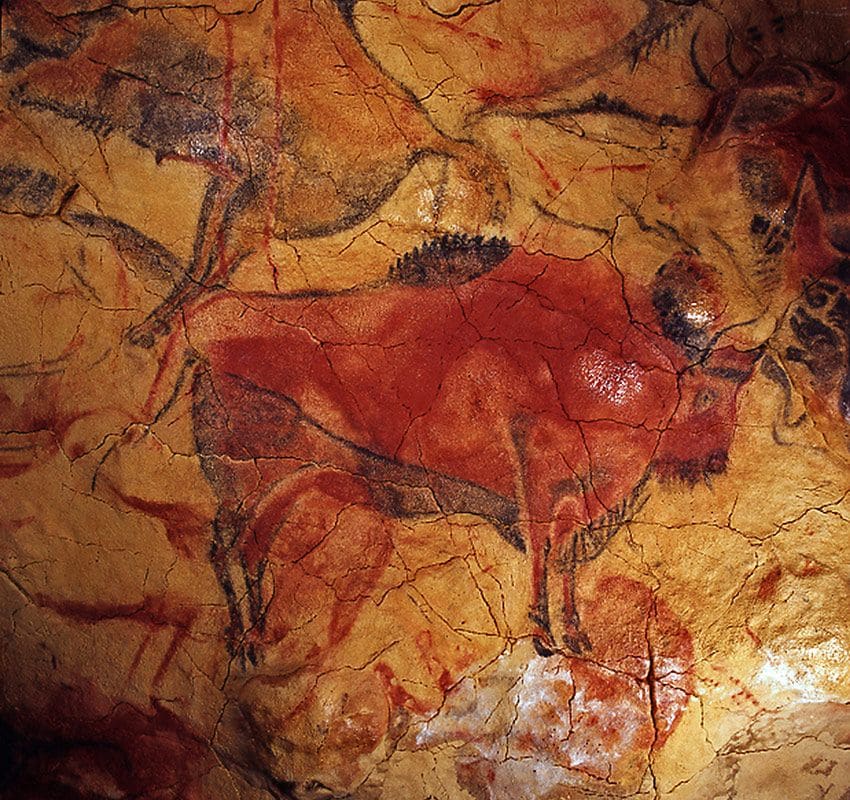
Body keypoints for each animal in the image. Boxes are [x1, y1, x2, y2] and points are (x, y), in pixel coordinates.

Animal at [169, 238, 752, 664]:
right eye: (708, 394)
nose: (716, 460)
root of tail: (205, 329)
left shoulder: (582, 499)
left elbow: (564, 558)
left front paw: (576, 635)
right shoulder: (539, 483)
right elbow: (544, 551)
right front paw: (543, 634)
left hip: (289, 483)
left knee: (247, 549)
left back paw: (252, 639)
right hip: (250, 478)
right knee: (228, 546)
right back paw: (245, 642)